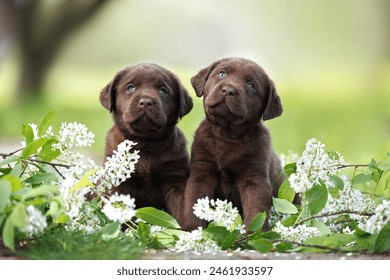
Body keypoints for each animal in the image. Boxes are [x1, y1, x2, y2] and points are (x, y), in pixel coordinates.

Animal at [100, 63, 193, 221]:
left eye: (163, 91)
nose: (146, 102)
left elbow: (180, 207)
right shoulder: (120, 182)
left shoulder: (175, 177)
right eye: (130, 87)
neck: (146, 143)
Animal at [181, 57, 284, 232]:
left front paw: (254, 234)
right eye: (222, 73)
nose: (228, 90)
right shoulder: (201, 172)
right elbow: (194, 204)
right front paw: (191, 231)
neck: (227, 135)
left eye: (251, 85)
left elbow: (255, 210)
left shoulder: (254, 178)